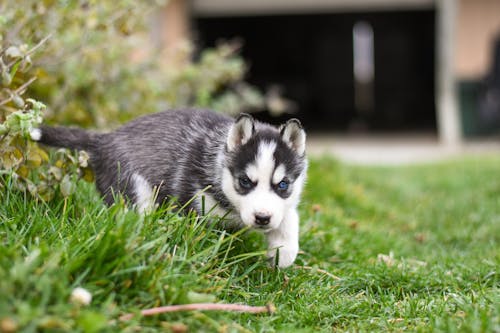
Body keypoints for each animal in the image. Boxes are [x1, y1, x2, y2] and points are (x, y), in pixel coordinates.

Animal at [33, 109, 306, 268]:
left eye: (283, 184)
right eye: (245, 182)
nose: (262, 218)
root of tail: (104, 139)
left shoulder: (284, 205)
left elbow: (289, 217)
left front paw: (283, 253)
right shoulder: (192, 204)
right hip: (133, 189)